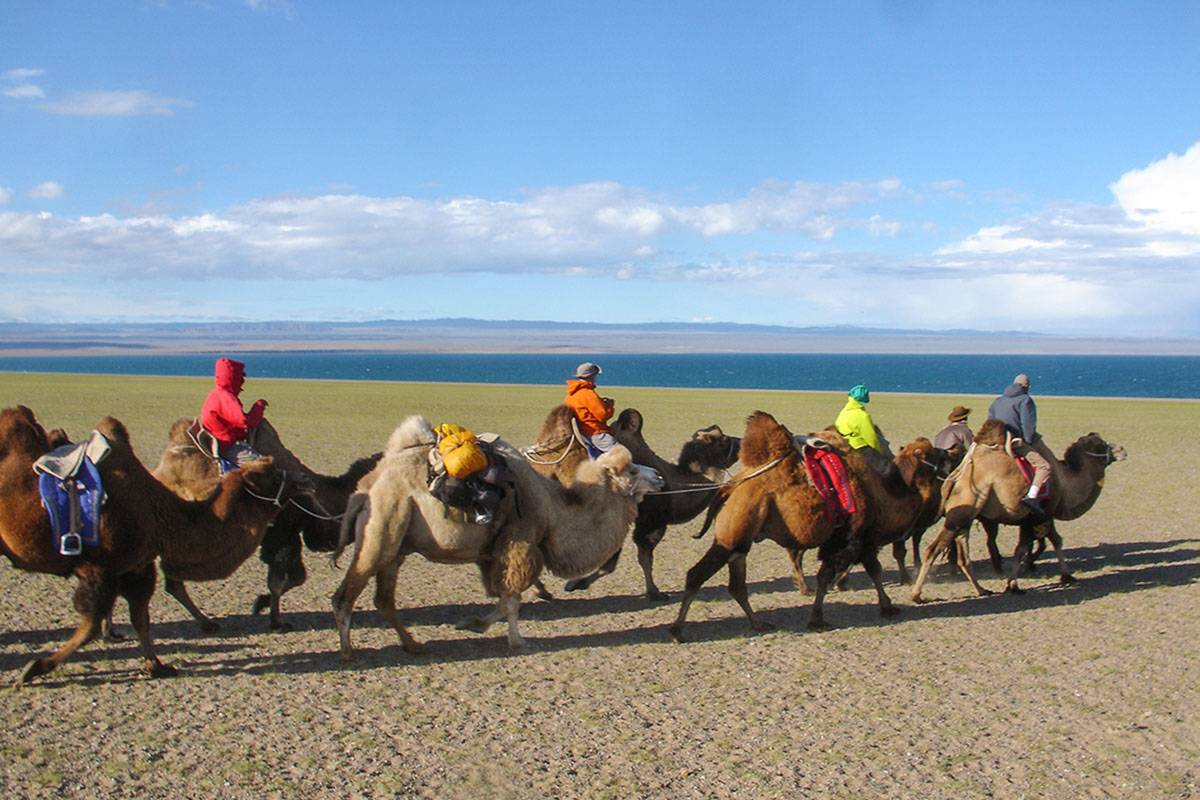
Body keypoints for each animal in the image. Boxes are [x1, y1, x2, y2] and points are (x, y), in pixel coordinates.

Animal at [0, 407, 314, 681]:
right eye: (272, 476)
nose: (304, 480)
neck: (162, 513)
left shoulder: (136, 565)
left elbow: (140, 617)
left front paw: (155, 665)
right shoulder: (100, 566)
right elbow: (91, 625)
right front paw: (35, 667)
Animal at [152, 419, 379, 633]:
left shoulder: (288, 535)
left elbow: (297, 578)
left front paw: (262, 603)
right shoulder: (282, 534)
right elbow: (280, 582)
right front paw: (276, 621)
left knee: (173, 582)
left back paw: (206, 623)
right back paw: (207, 623)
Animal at [331, 417, 667, 662]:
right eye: (632, 470)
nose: (660, 478)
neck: (553, 509)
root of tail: (367, 485)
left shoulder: (492, 552)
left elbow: (502, 598)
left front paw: (473, 624)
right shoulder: (519, 539)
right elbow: (512, 599)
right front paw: (518, 642)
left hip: (398, 543)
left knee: (384, 598)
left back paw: (412, 645)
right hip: (383, 527)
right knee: (345, 595)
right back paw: (349, 654)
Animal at [559, 410, 739, 597]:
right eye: (724, 440)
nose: (741, 441)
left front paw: (577, 582)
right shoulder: (651, 523)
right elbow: (641, 558)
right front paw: (655, 593)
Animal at [912, 419, 1128, 599]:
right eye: (1100, 445)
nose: (1122, 449)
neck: (1064, 482)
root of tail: (957, 474)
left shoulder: (1040, 517)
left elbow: (1053, 541)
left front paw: (1065, 575)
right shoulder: (1038, 515)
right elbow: (1026, 547)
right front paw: (1015, 584)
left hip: (965, 516)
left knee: (963, 553)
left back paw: (981, 589)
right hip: (961, 512)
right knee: (933, 549)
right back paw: (917, 594)